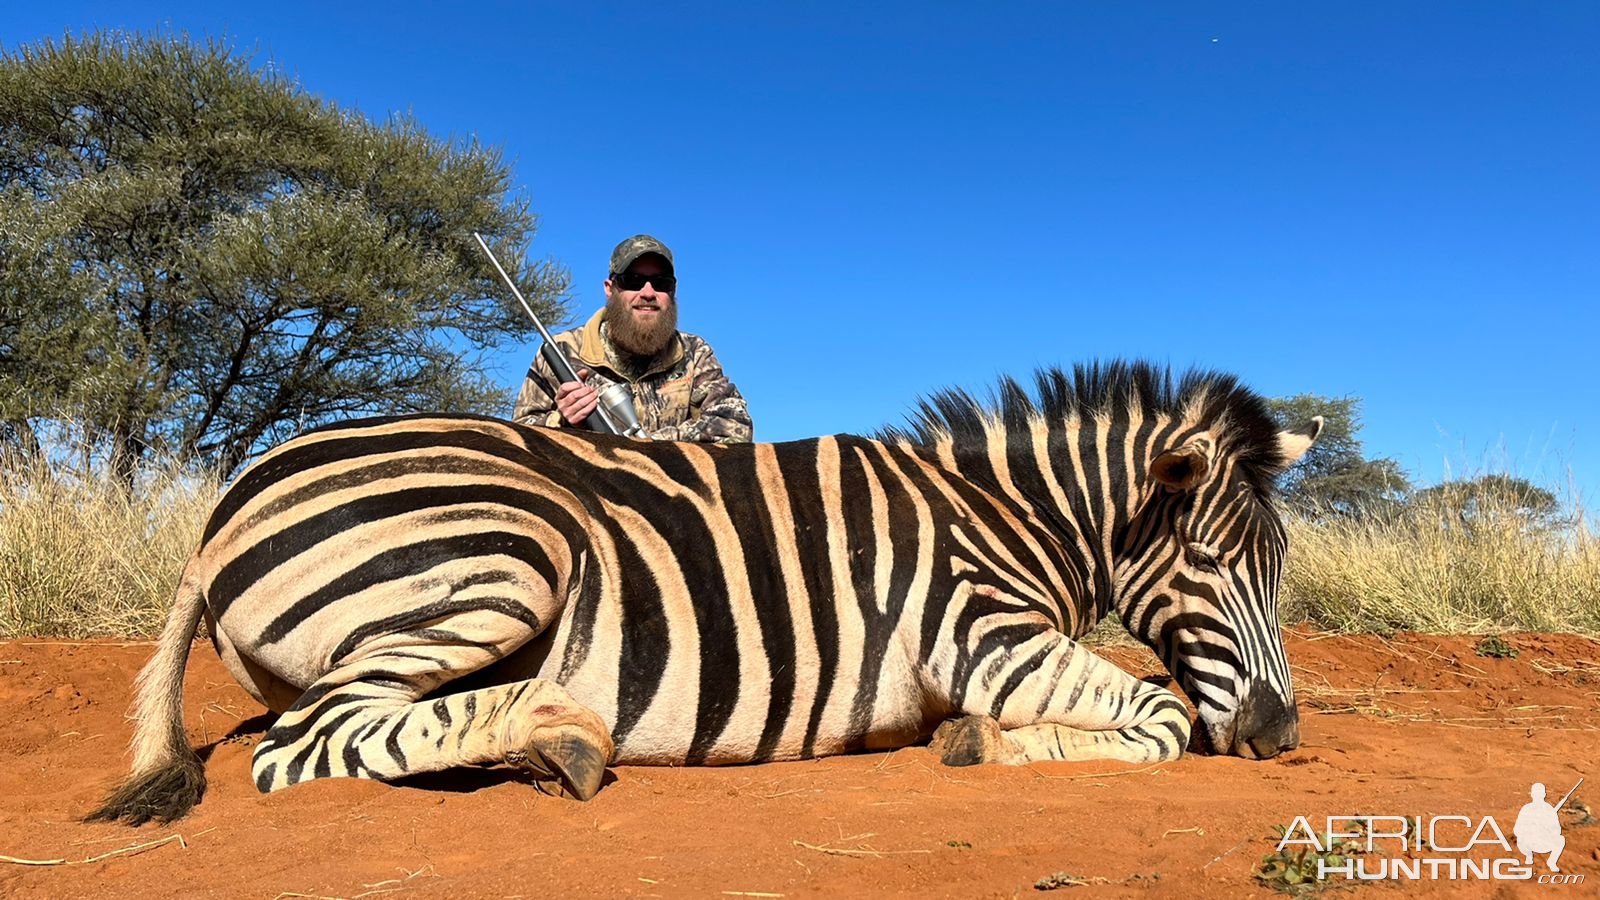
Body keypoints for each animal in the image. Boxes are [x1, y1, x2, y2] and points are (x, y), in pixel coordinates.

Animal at [87, 360, 1318, 826]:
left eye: (1277, 568)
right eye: (1211, 564)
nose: (1280, 735)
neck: (1001, 514)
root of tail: (229, 500)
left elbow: (1157, 710)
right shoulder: (982, 635)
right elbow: (1160, 716)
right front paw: (983, 744)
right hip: (510, 552)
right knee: (300, 745)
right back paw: (562, 732)